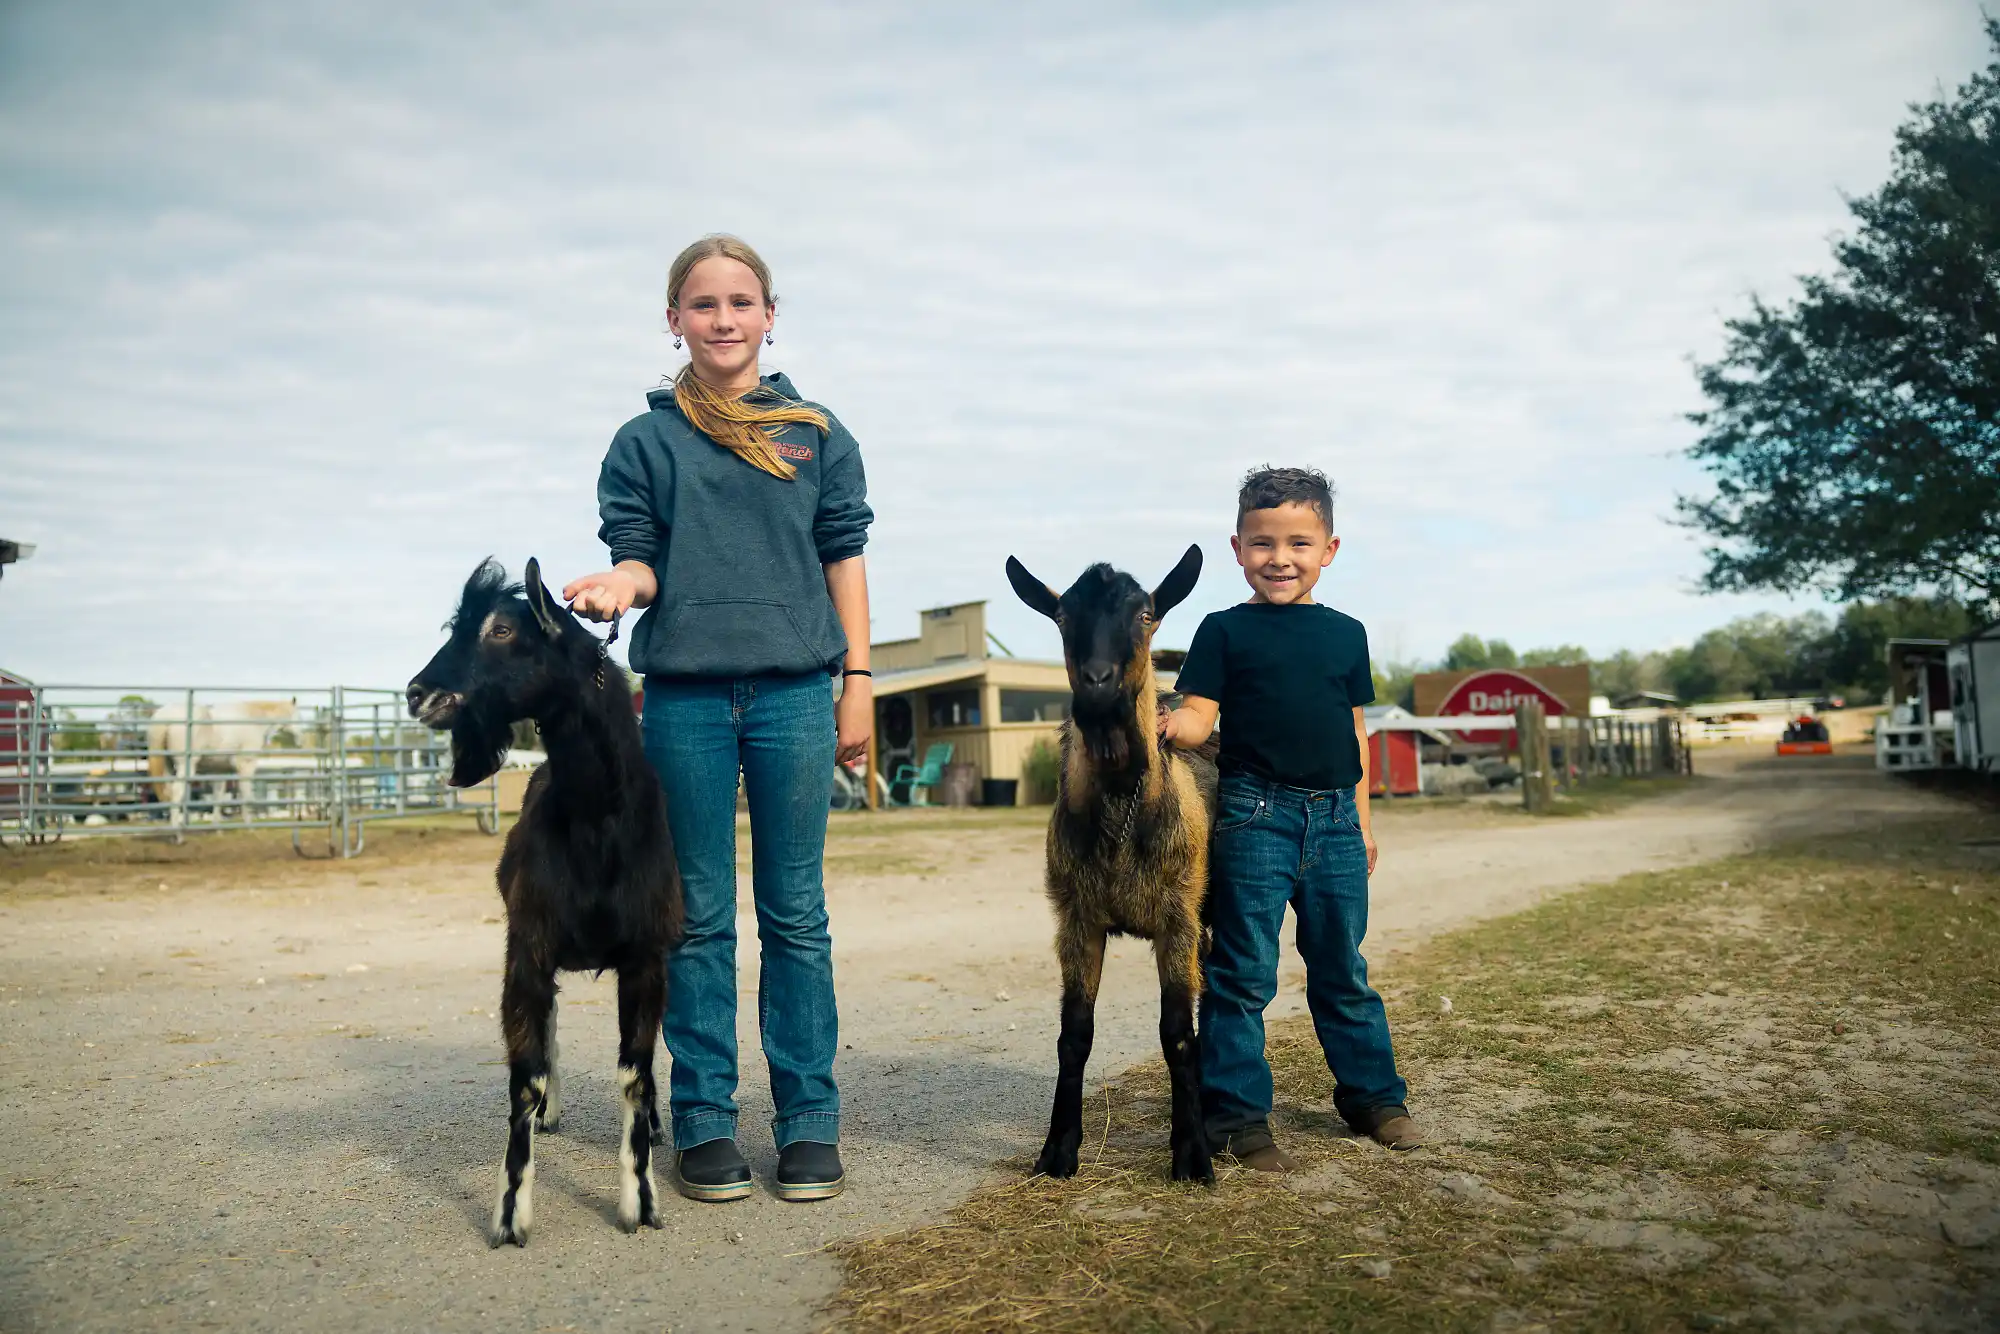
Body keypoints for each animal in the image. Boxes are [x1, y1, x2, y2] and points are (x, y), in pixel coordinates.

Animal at [407, 558, 683, 1246]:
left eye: (503, 630)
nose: (417, 693)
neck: (597, 823)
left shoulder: (646, 955)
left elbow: (635, 1073)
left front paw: (641, 1200)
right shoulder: (527, 950)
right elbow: (524, 1078)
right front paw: (510, 1215)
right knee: (550, 1026)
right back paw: (552, 1114)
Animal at [1005, 545, 1217, 1184]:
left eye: (1146, 614)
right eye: (1061, 616)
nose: (1098, 688)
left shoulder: (1178, 920)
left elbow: (1177, 1034)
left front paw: (1192, 1155)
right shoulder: (1077, 919)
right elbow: (1074, 1035)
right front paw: (1058, 1150)